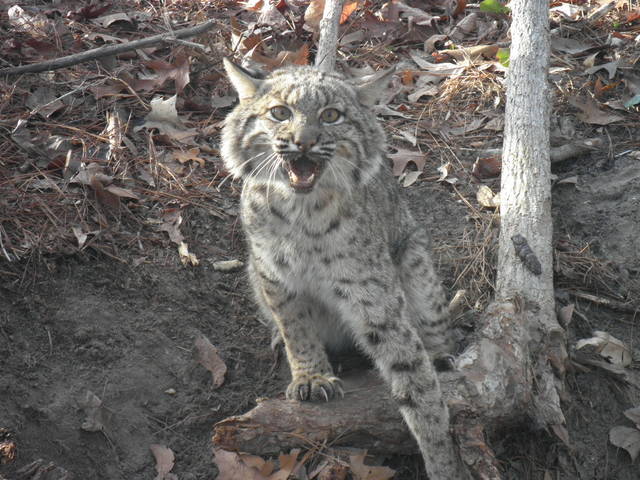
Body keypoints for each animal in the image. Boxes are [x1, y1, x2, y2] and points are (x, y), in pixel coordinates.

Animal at [221, 58, 469, 479]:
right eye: (280, 113)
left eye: (331, 116)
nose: (303, 142)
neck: (302, 210)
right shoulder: (273, 276)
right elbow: (297, 329)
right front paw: (311, 376)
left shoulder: (374, 295)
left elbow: (415, 377)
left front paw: (442, 459)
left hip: (414, 255)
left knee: (433, 321)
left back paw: (441, 355)